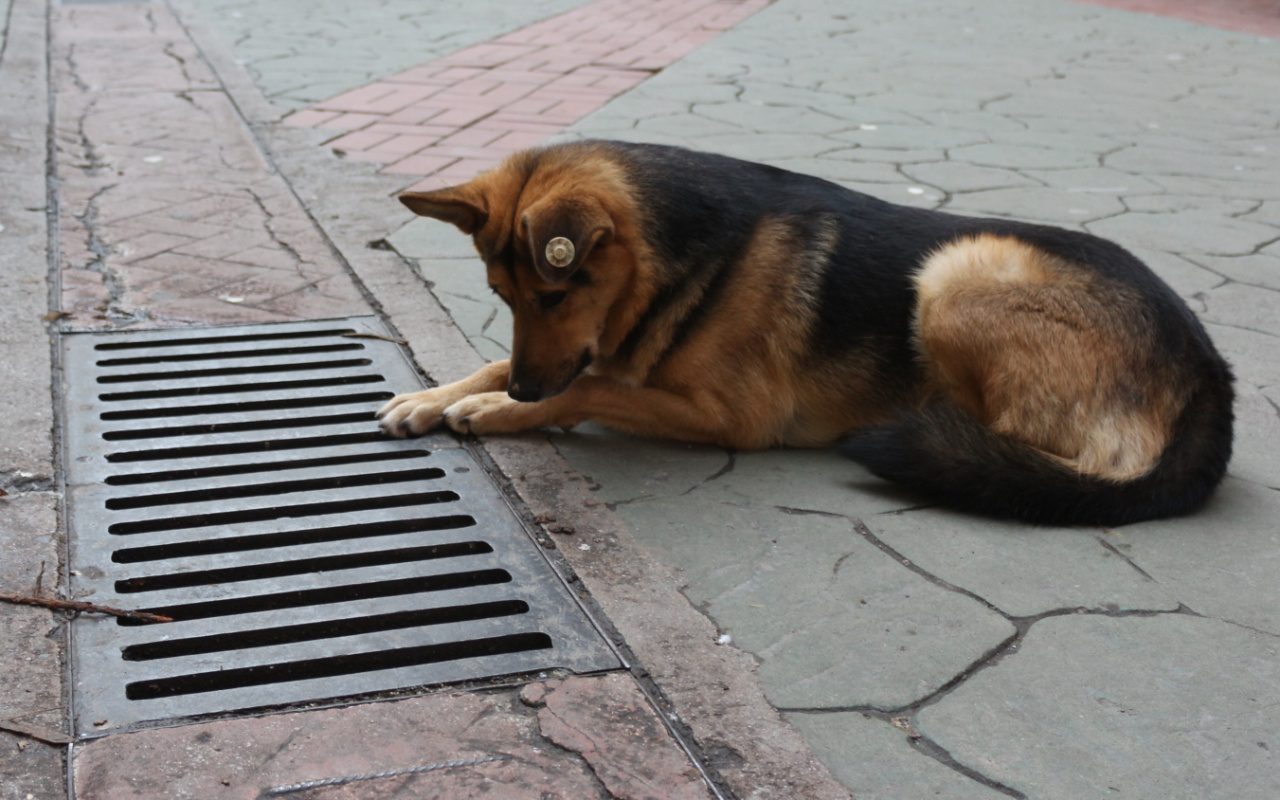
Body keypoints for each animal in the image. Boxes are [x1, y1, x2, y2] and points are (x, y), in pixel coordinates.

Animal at [373, 138, 1233, 524]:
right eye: (503, 294)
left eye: (555, 296)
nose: (525, 388)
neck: (682, 256)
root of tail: (1209, 371)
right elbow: (513, 365)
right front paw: (434, 395)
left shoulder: (731, 417)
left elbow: (586, 388)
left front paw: (498, 411)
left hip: (954, 271)